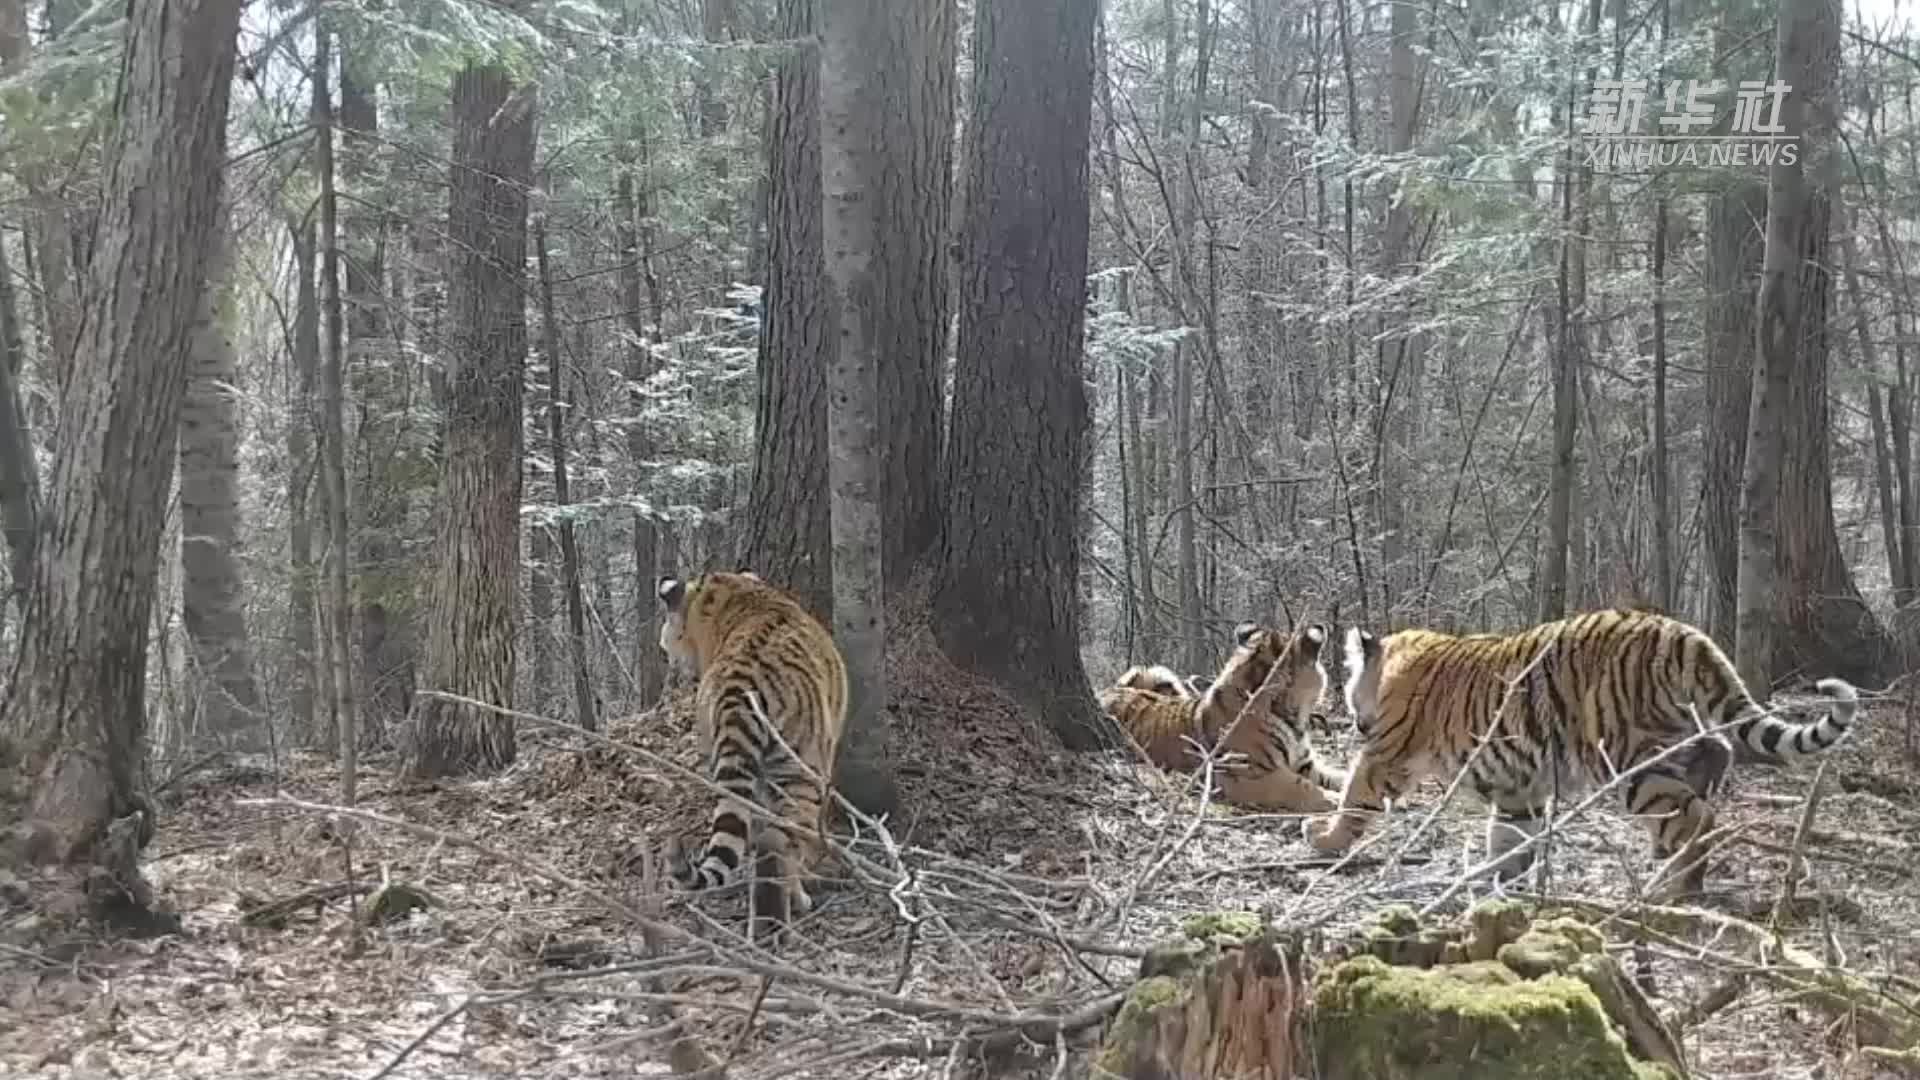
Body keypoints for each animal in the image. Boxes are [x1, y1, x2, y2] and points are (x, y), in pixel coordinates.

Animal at [1305, 607, 1858, 891]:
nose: (1353, 718)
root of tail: (1681, 633)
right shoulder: (1517, 784)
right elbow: (1510, 835)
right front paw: (1497, 879)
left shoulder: (1384, 754)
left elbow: (1353, 794)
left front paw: (1325, 838)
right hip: (1671, 735)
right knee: (1714, 754)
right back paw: (1669, 855)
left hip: (1625, 755)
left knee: (1695, 815)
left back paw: (1672, 885)